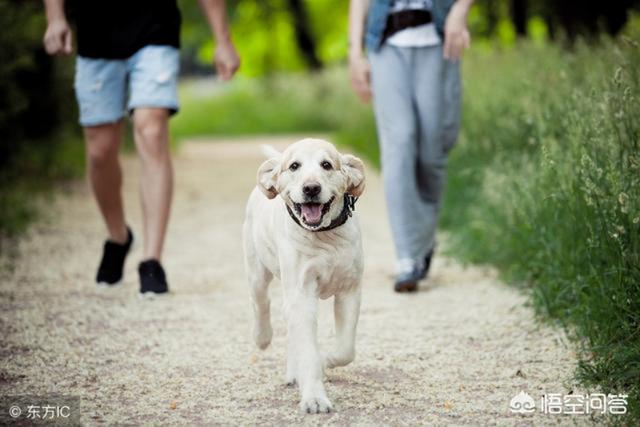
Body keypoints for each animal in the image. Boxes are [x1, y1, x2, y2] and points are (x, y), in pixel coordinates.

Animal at [244, 139, 368, 412]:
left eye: (327, 165)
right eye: (294, 166)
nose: (311, 188)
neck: (325, 237)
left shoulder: (349, 291)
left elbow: (346, 349)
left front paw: (326, 360)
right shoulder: (301, 294)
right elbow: (309, 353)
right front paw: (314, 399)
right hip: (258, 271)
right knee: (261, 303)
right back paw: (262, 337)